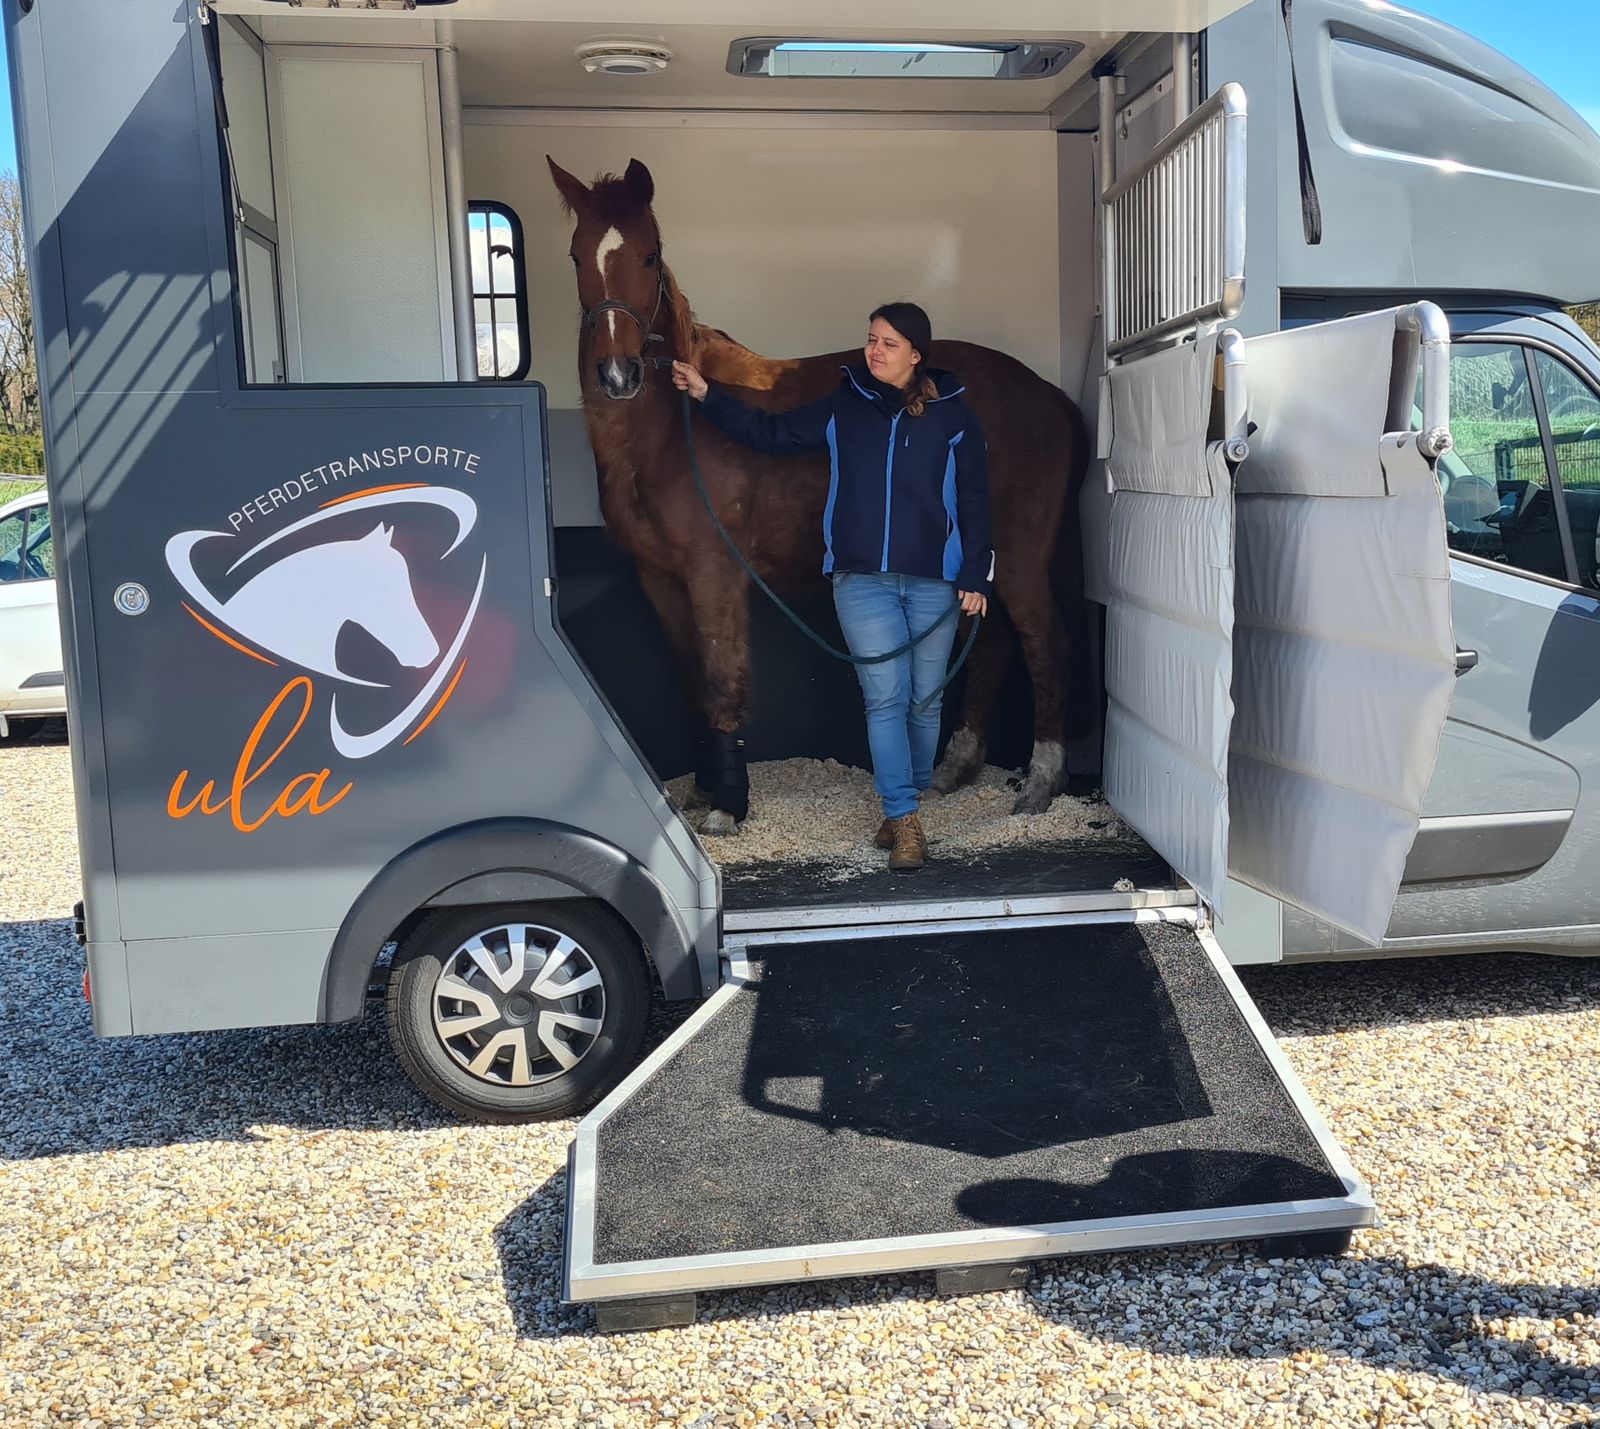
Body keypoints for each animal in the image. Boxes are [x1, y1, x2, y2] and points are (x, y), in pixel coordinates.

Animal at [550, 156, 1088, 832]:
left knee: (1047, 647)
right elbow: (693, 686)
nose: (618, 374)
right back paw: (954, 770)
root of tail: (1046, 394)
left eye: (650, 256)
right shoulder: (660, 579)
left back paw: (1039, 783)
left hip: (1016, 559)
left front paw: (727, 806)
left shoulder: (713, 573)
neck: (672, 430)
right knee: (991, 646)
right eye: (576, 256)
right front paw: (703, 789)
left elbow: (723, 682)